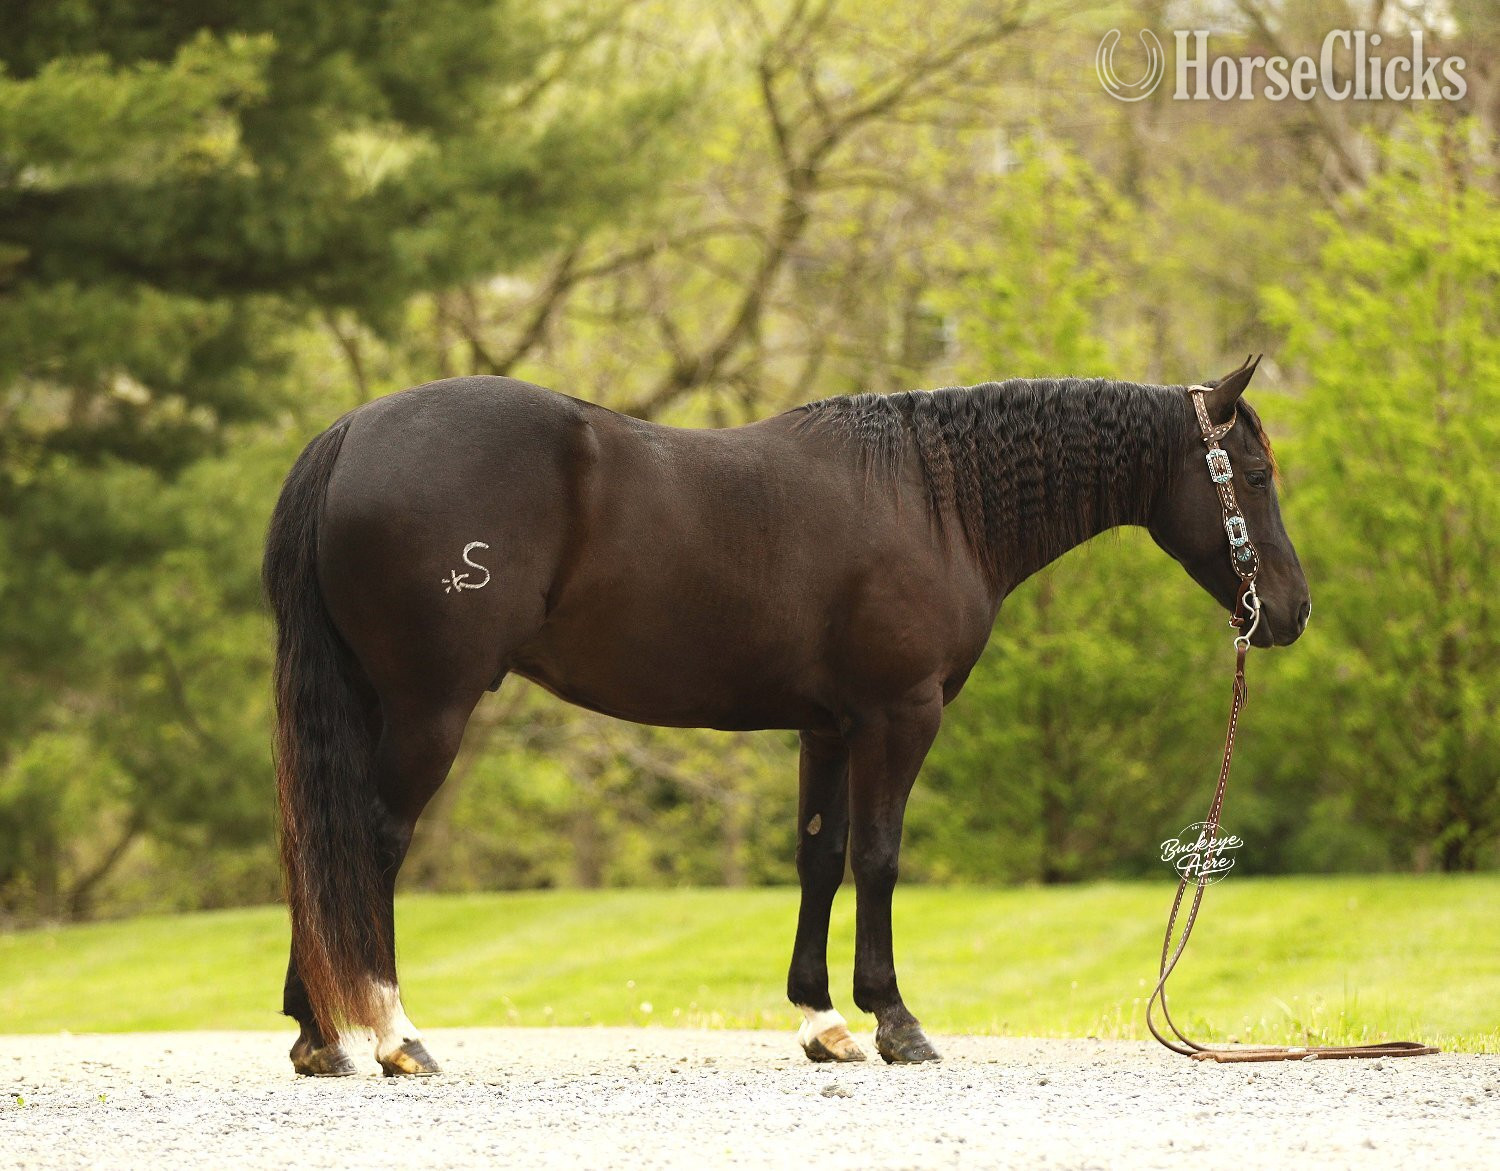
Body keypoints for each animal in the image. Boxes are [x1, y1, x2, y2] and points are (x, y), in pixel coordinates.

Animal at [263, 354, 1309, 1076]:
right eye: (1254, 476)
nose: (1292, 613)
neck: (933, 498)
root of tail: (352, 432)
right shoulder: (898, 715)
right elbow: (879, 856)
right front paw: (896, 1021)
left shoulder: (829, 726)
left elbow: (820, 854)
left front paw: (825, 1022)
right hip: (429, 707)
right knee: (368, 845)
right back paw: (395, 1035)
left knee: (319, 849)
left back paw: (318, 1033)